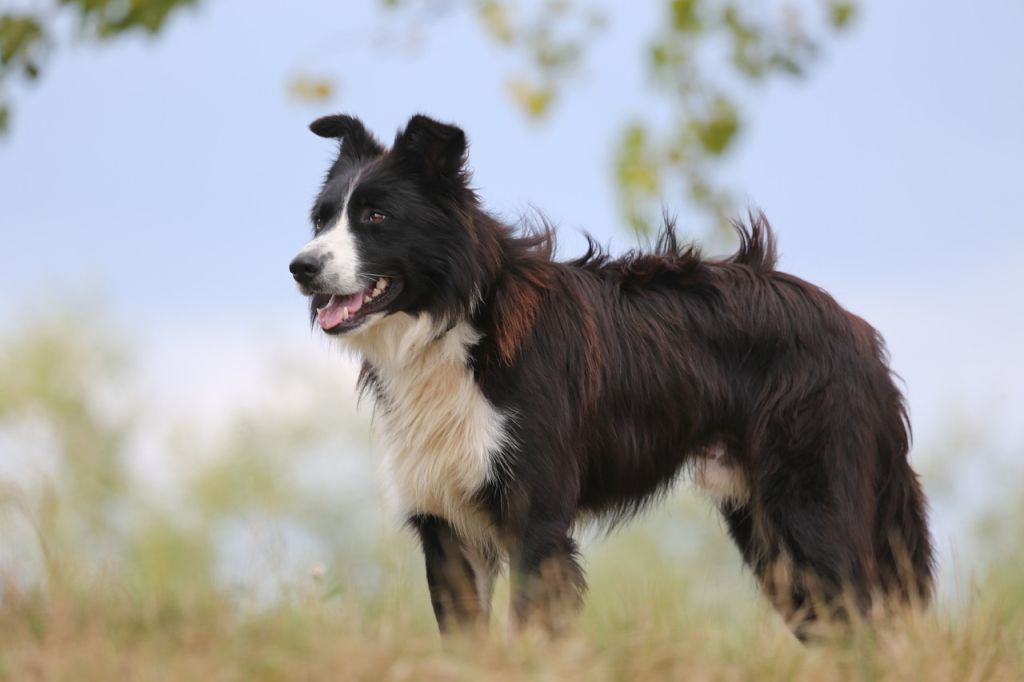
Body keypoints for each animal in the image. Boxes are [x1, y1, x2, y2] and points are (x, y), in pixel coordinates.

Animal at [290, 112, 937, 638]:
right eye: (320, 220)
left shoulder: (536, 519)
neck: (455, 326)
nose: (300, 267)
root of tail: (857, 330)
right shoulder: (447, 528)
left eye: (376, 216)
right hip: (767, 530)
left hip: (811, 505)